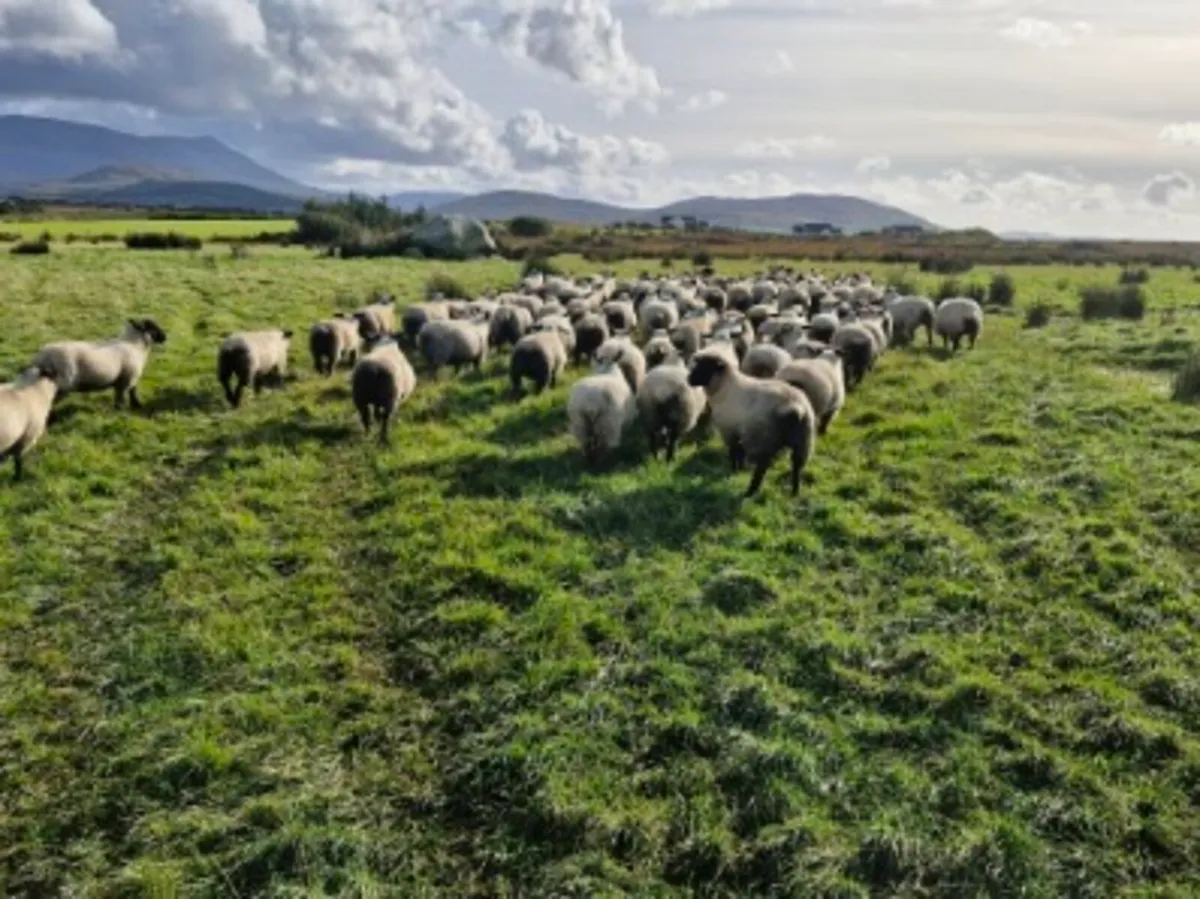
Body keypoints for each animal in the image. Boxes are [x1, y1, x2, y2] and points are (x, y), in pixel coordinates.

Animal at [30, 318, 167, 410]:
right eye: (152, 327)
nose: (165, 337)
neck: (134, 345)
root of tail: (42, 356)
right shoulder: (126, 378)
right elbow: (122, 397)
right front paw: (119, 411)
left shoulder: (129, 378)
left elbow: (133, 391)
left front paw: (137, 405)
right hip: (62, 383)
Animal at [688, 347, 816, 498]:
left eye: (706, 366)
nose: (689, 379)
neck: (724, 388)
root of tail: (795, 407)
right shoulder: (739, 430)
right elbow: (740, 451)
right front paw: (739, 469)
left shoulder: (728, 430)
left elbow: (734, 451)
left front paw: (734, 469)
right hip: (803, 440)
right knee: (797, 467)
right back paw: (794, 492)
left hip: (764, 438)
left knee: (762, 467)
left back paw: (750, 491)